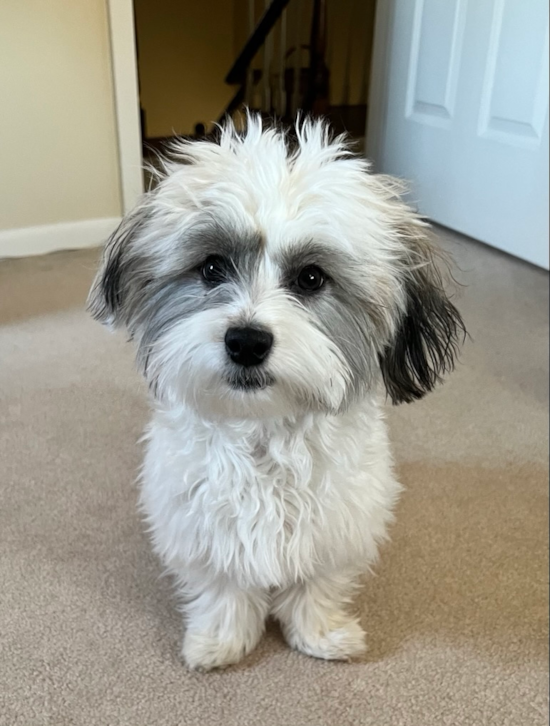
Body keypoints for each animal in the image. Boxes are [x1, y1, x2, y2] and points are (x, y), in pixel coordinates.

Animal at [88, 114, 468, 672]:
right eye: (211, 267)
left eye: (311, 277)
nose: (246, 340)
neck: (263, 431)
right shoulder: (203, 525)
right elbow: (224, 587)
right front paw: (221, 640)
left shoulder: (336, 526)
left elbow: (317, 585)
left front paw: (321, 634)